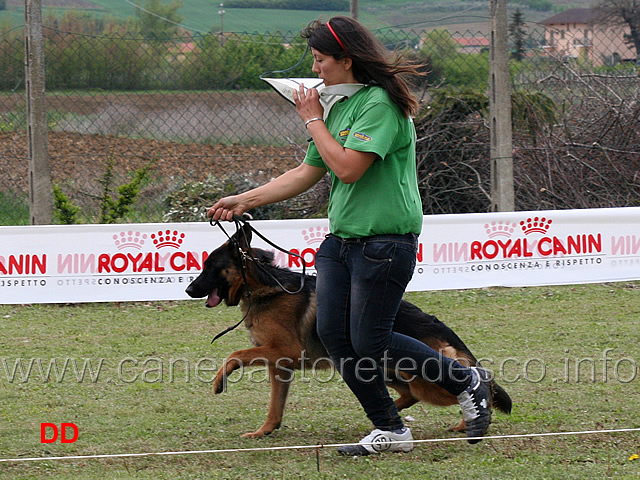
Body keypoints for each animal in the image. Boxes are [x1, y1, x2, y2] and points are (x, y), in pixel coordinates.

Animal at [185, 223, 510, 436]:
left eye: (210, 266)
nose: (188, 290)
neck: (265, 289)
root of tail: (444, 330)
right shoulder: (279, 364)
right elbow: (275, 407)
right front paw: (264, 431)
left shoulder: (282, 351)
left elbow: (235, 354)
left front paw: (220, 381)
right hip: (381, 369)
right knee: (411, 395)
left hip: (416, 377)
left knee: (474, 386)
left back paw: (470, 419)